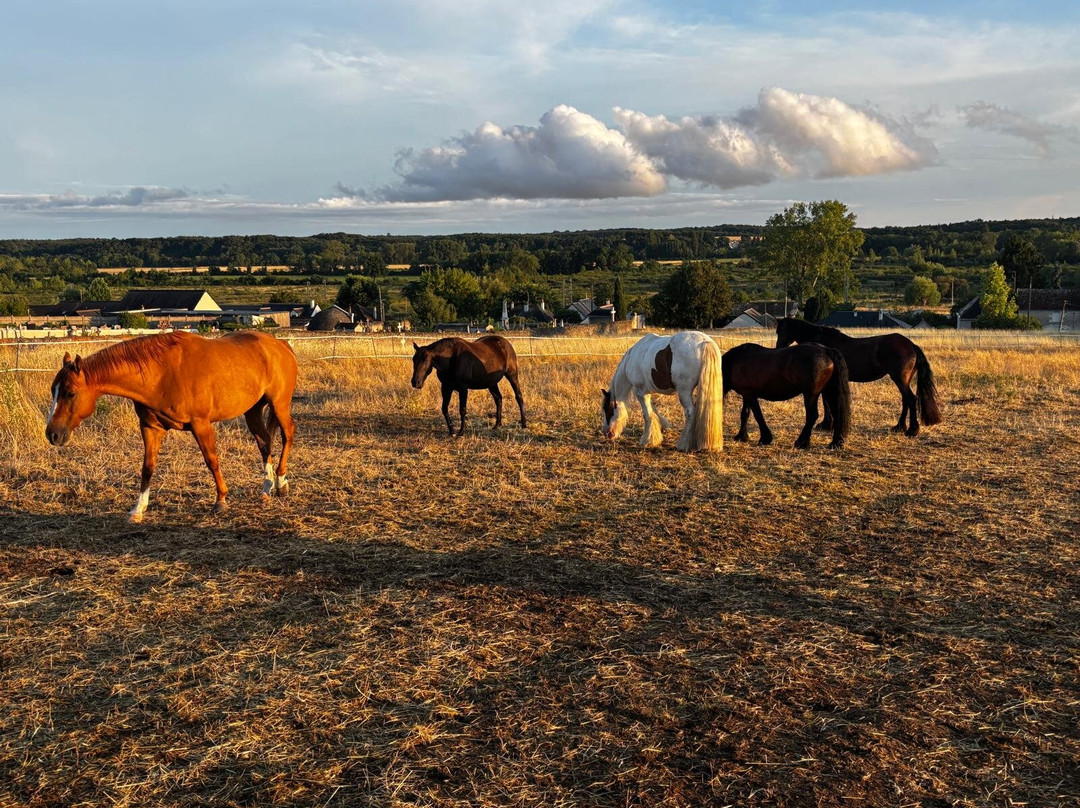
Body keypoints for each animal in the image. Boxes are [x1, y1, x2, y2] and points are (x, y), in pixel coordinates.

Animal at [46, 331, 298, 522]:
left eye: (70, 393)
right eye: (53, 390)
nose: (52, 434)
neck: (161, 374)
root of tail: (281, 345)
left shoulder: (200, 424)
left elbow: (212, 461)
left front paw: (221, 501)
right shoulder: (150, 427)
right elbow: (147, 468)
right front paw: (138, 510)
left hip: (279, 404)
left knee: (287, 435)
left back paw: (281, 482)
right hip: (253, 411)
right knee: (264, 443)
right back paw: (266, 488)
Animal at [722, 342, 851, 449]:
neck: (734, 361)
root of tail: (826, 350)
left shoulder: (750, 395)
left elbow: (758, 415)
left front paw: (765, 438)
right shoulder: (746, 394)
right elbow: (745, 414)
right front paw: (741, 436)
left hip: (811, 394)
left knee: (812, 416)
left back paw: (801, 443)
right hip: (829, 392)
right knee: (837, 414)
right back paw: (835, 443)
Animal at [775, 317, 942, 436]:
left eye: (780, 331)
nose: (778, 348)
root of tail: (911, 345)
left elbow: (826, 402)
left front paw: (825, 425)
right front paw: (828, 424)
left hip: (900, 379)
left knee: (911, 400)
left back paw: (912, 430)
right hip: (902, 381)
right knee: (906, 400)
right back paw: (899, 427)